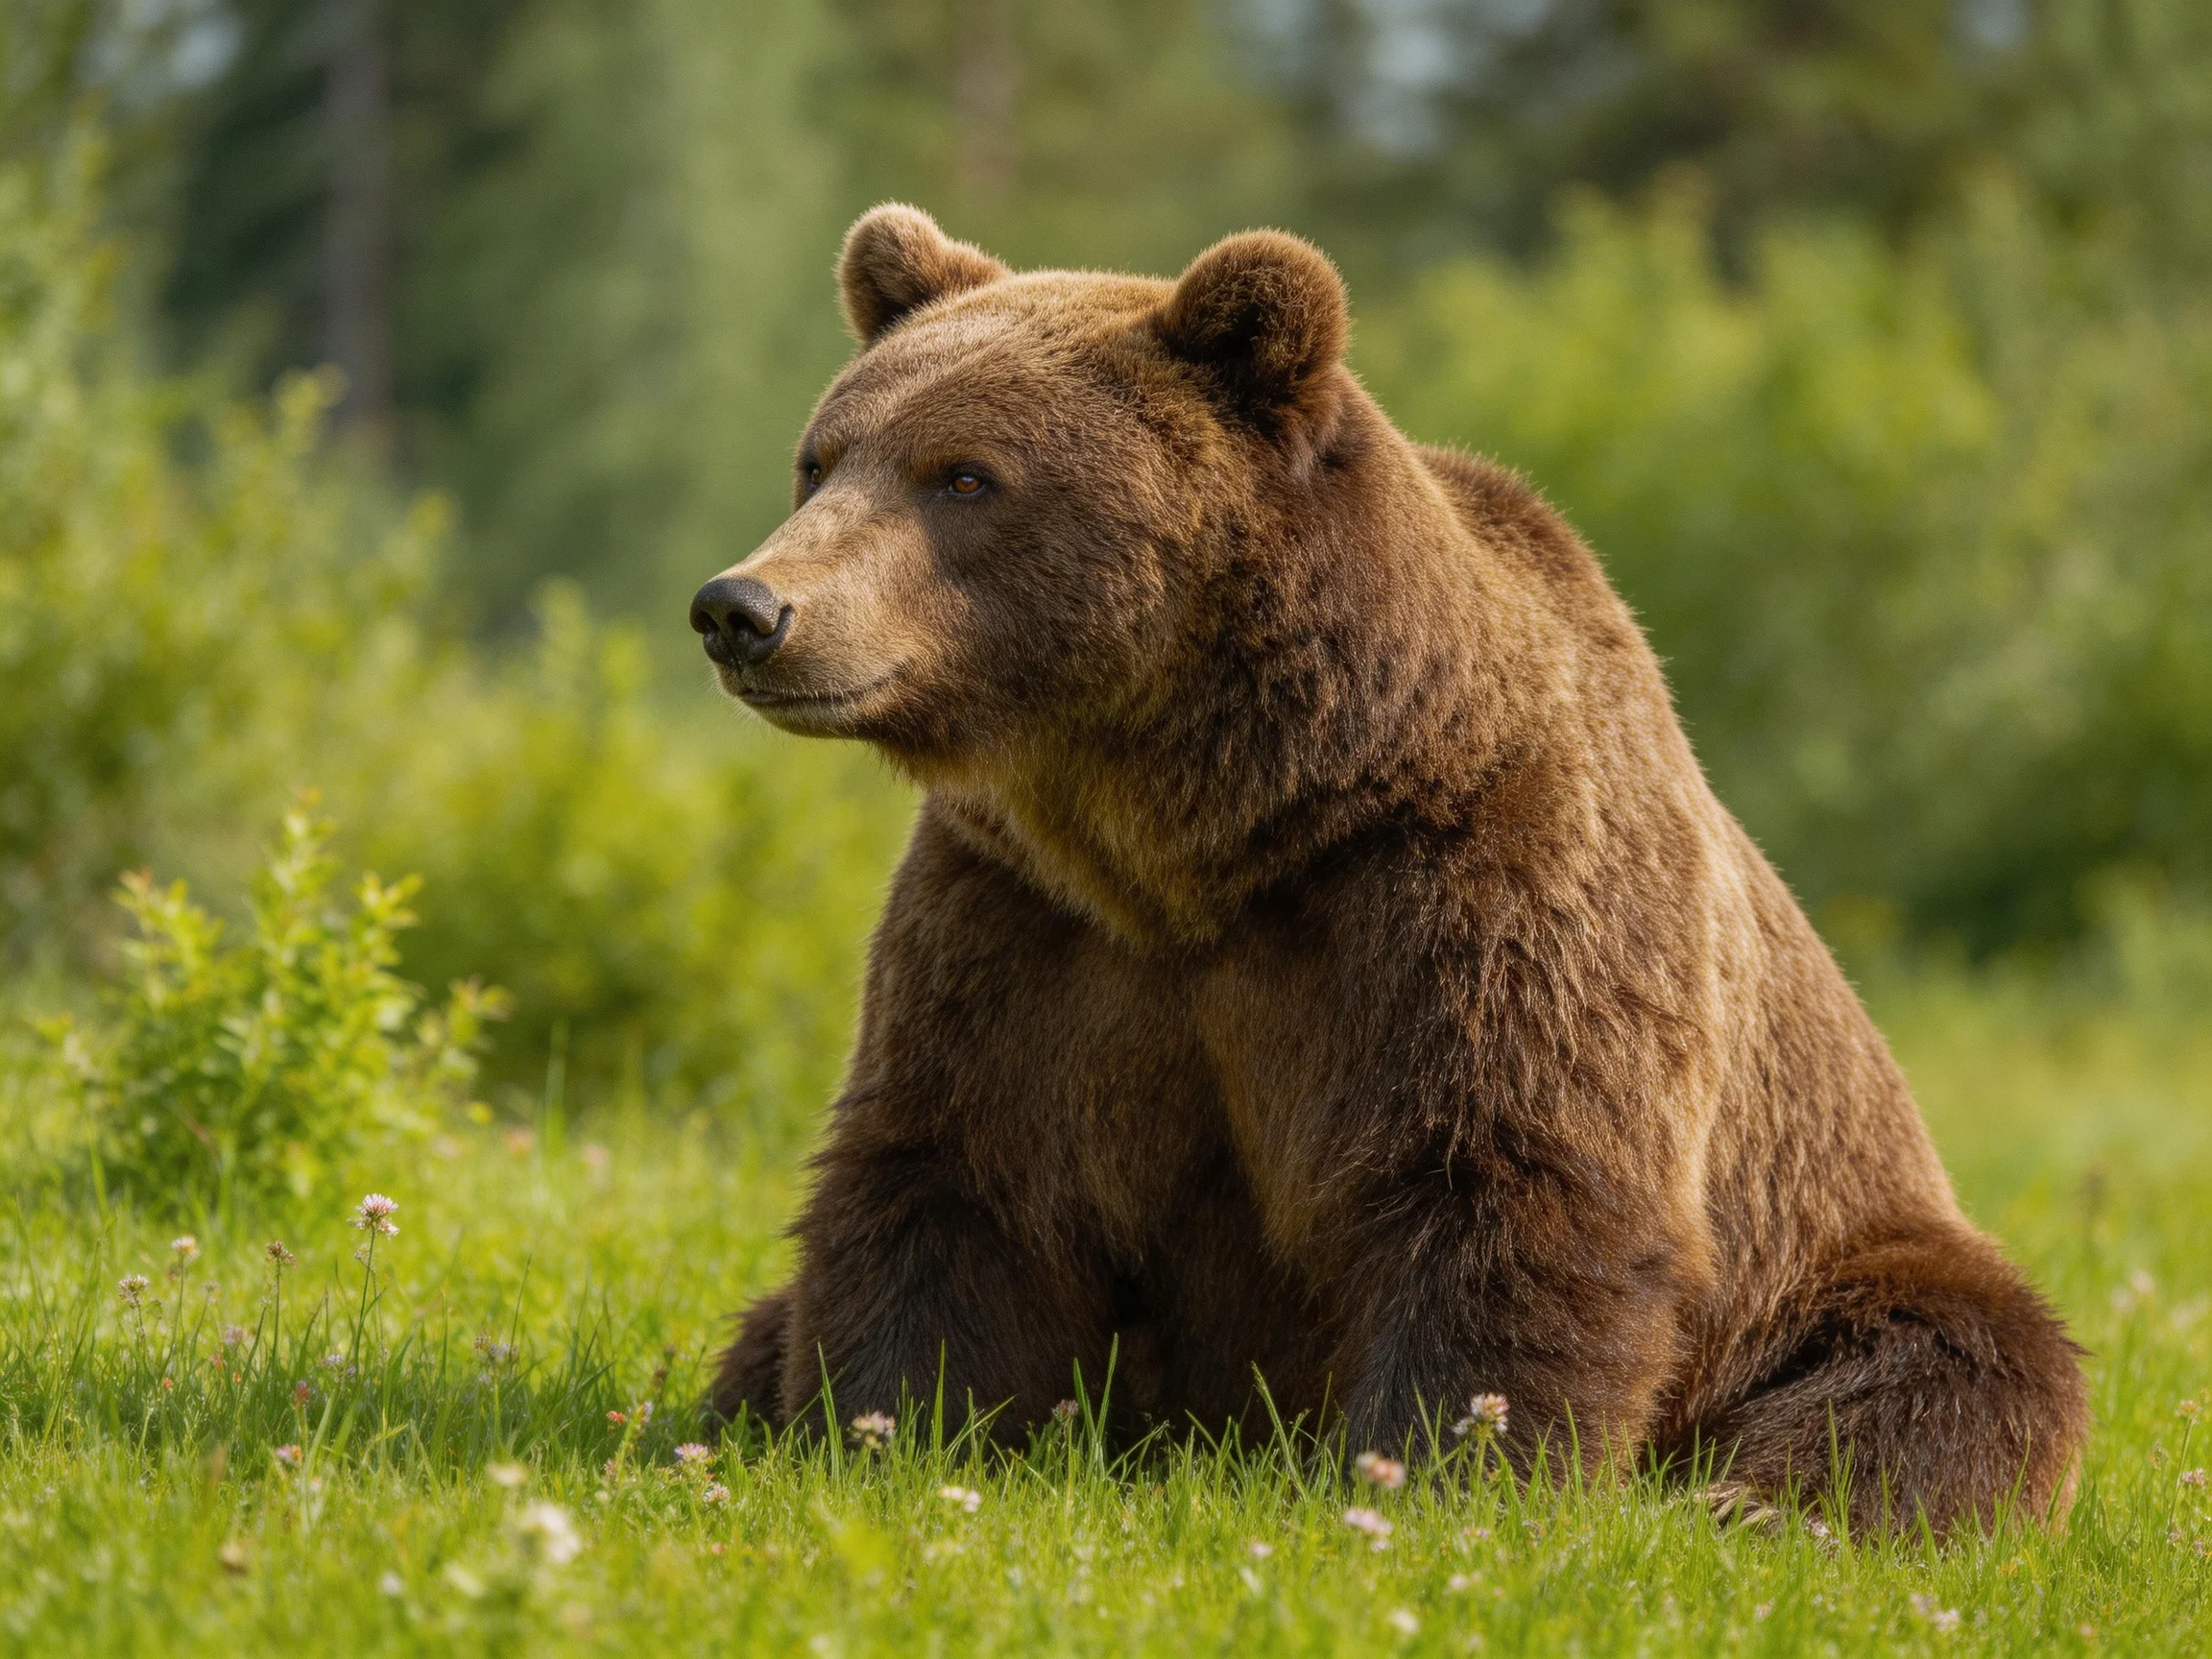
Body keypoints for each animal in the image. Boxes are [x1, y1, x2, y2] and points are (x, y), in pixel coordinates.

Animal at [687, 203, 2088, 1536]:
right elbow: (953, 1175)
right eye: (821, 458)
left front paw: (1442, 1475)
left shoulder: (1480, 885)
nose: (744, 608)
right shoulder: (1025, 921)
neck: (1204, 827)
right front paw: (885, 1438)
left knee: (1959, 1365)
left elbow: (1512, 1183)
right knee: (762, 1324)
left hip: (1836, 1260)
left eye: (965, 475)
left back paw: (1758, 1507)